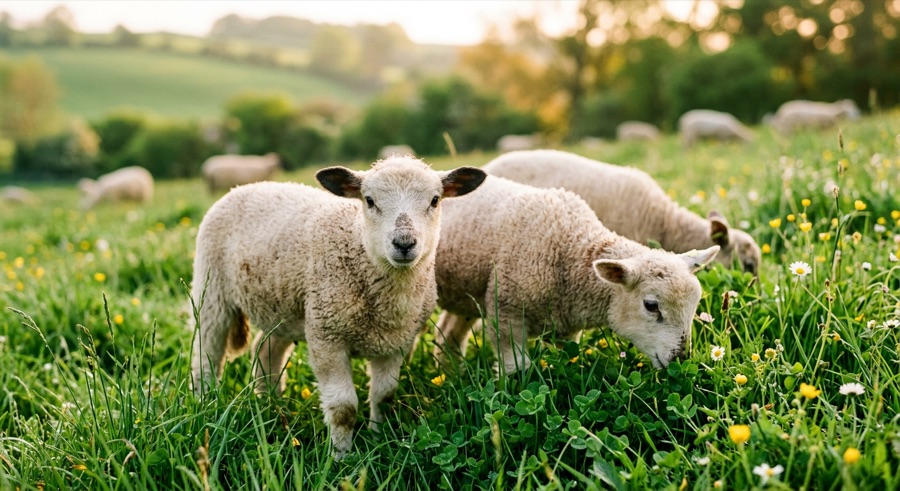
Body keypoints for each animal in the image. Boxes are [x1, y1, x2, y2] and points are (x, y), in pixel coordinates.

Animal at [190, 155, 486, 458]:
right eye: (369, 200)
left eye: (435, 200)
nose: (404, 243)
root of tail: (246, 187)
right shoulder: (327, 337)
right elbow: (344, 409)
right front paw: (342, 457)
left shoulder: (396, 343)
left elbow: (385, 396)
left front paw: (380, 438)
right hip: (212, 291)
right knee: (207, 354)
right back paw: (207, 403)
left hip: (283, 307)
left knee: (266, 351)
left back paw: (271, 406)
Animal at [433, 174, 719, 374]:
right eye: (651, 305)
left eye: (694, 307)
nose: (680, 360)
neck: (571, 247)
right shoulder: (506, 314)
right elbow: (516, 370)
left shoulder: (567, 328)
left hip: (466, 293)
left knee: (448, 332)